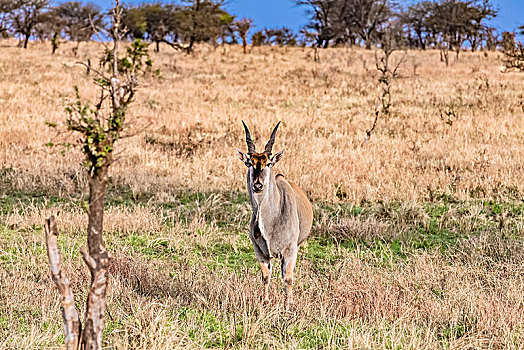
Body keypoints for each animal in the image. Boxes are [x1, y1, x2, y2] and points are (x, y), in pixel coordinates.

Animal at [236, 121, 312, 306]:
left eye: (268, 163)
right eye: (249, 163)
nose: (257, 185)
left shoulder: (290, 250)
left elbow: (288, 279)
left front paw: (288, 305)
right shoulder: (261, 252)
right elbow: (265, 277)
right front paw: (265, 302)